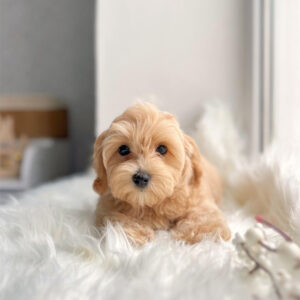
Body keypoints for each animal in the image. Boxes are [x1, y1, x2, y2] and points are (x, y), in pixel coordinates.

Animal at [92, 102, 231, 245]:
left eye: (162, 149)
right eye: (123, 149)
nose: (141, 177)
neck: (151, 203)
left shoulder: (199, 201)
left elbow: (206, 218)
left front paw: (197, 233)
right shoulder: (106, 207)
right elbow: (116, 217)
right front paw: (133, 232)